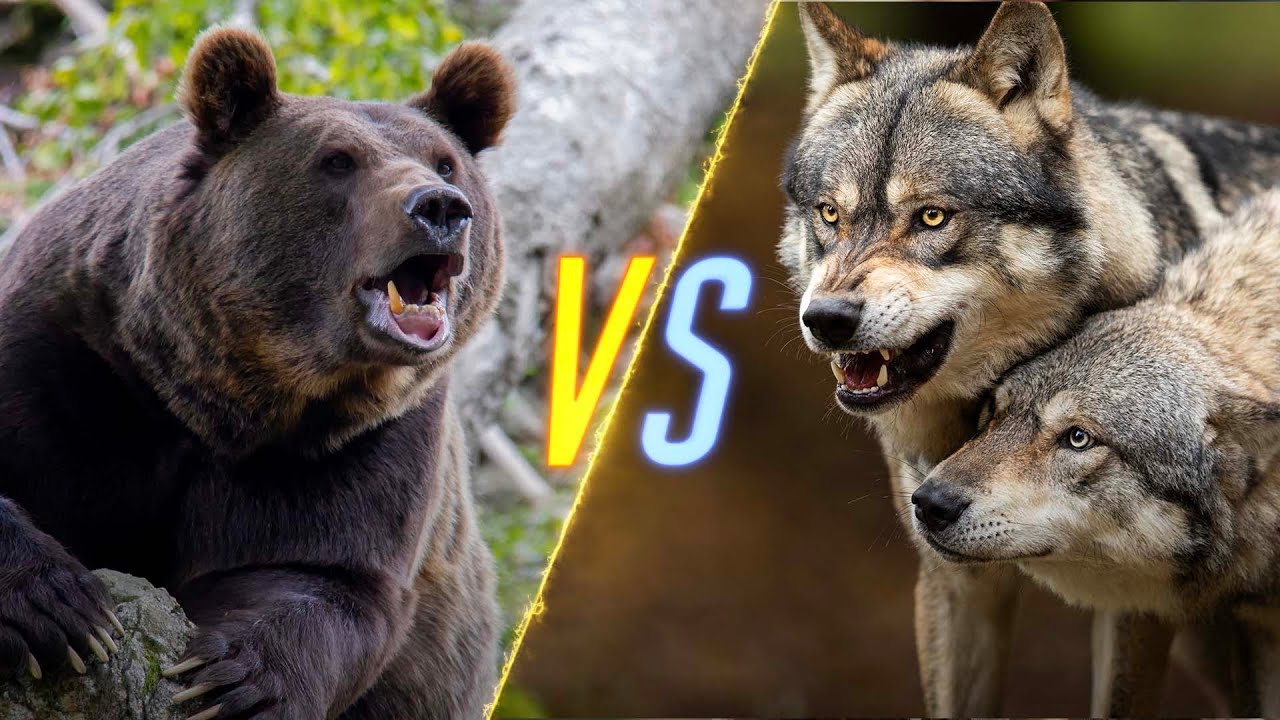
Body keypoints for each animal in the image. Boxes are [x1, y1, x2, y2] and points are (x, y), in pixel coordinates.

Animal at [0, 26, 514, 720]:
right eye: (338, 161)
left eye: (444, 162)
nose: (440, 207)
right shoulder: (65, 354)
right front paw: (62, 611)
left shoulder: (360, 437)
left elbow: (322, 572)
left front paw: (236, 680)